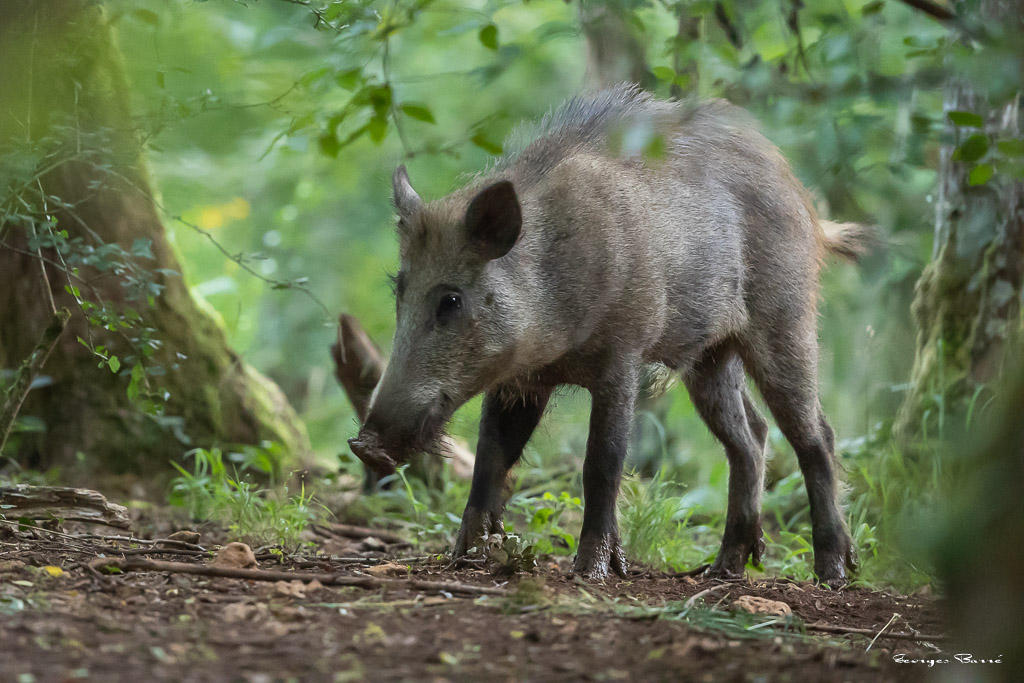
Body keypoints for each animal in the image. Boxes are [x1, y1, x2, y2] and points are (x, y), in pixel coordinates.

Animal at [349, 84, 871, 583]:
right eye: (399, 289)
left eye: (451, 301)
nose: (364, 444)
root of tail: (807, 205)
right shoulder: (520, 380)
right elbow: (490, 459)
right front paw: (463, 558)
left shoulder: (623, 356)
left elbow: (602, 461)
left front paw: (592, 572)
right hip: (710, 357)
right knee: (750, 436)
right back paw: (723, 570)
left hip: (786, 321)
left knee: (816, 435)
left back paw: (832, 574)